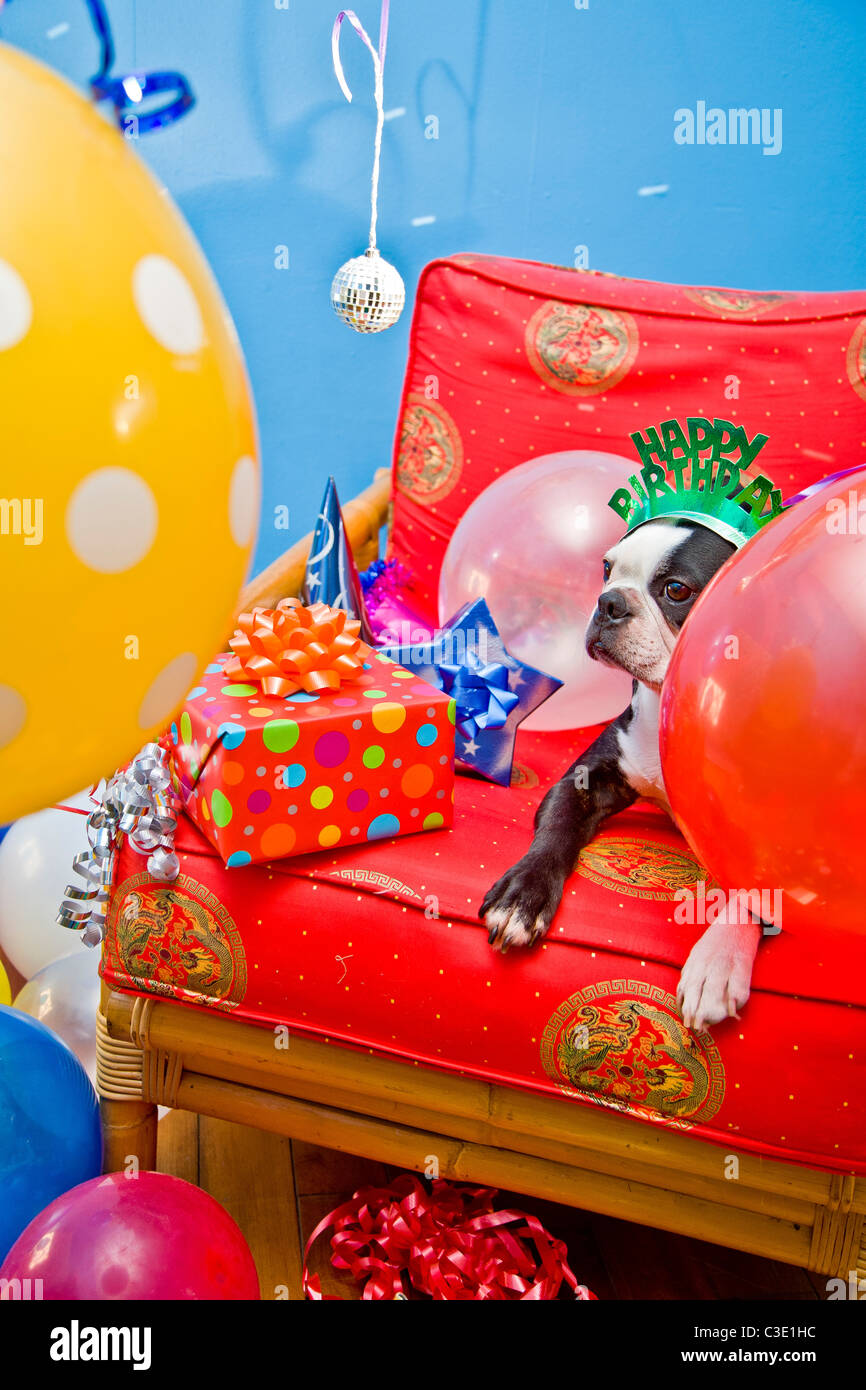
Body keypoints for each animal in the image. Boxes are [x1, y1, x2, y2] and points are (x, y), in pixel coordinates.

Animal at [480, 417, 783, 1039]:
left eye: (676, 590)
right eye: (605, 569)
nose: (607, 602)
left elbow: (753, 888)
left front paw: (717, 962)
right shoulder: (584, 777)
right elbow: (555, 828)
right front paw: (522, 894)